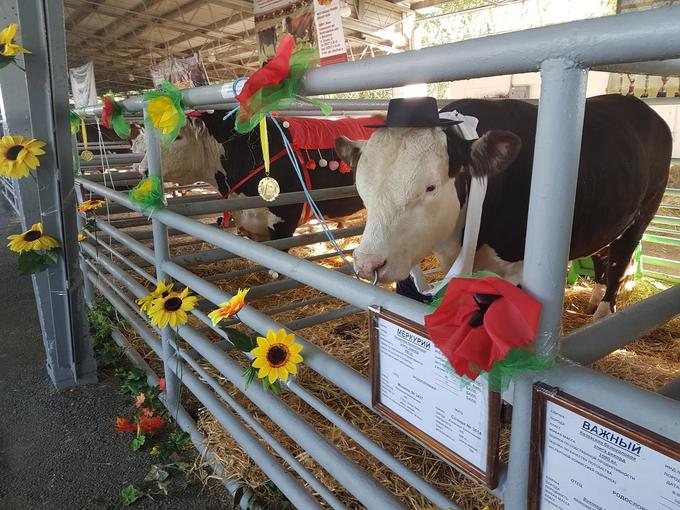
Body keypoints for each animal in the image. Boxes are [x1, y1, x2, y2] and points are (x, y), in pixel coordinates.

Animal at [338, 95, 672, 318]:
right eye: (362, 185)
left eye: (430, 187)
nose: (367, 264)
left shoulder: (520, 270)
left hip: (642, 214)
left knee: (619, 261)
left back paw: (603, 311)